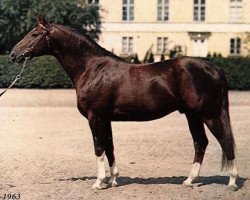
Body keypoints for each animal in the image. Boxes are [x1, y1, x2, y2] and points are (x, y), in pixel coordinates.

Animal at [10, 16, 238, 190]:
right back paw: (189, 180)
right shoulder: (106, 119)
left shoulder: (95, 117)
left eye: (34, 34)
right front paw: (112, 180)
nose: (13, 55)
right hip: (192, 115)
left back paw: (232, 182)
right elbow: (110, 147)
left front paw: (98, 183)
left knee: (224, 142)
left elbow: (99, 148)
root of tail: (214, 68)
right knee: (201, 143)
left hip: (209, 115)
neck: (92, 68)